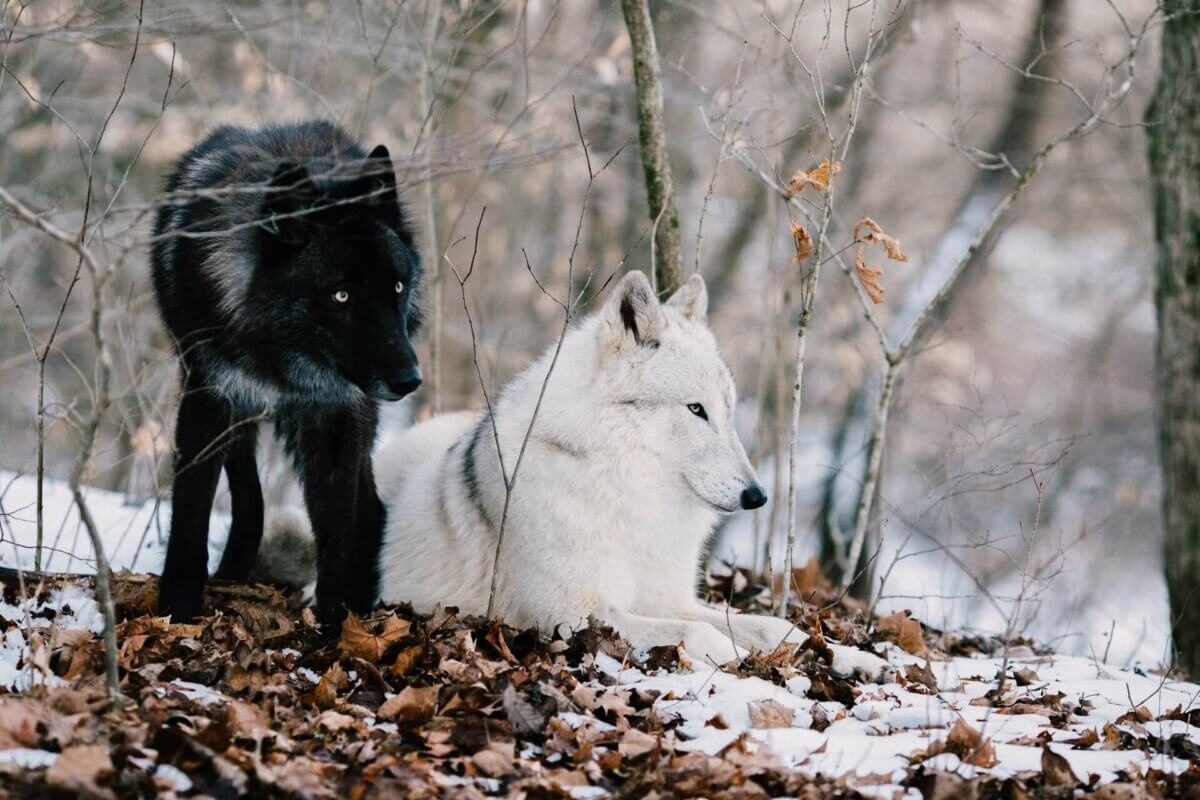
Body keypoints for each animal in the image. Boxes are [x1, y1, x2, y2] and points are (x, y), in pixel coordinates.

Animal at [150, 120, 422, 630]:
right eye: (341, 296)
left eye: (396, 287)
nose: (409, 380)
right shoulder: (209, 398)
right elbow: (193, 514)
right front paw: (177, 609)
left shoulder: (335, 416)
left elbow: (336, 529)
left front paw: (337, 625)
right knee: (250, 497)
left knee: (369, 510)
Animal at [260, 270, 802, 664]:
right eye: (695, 410)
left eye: (727, 410)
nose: (757, 496)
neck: (623, 491)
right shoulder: (574, 614)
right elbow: (697, 633)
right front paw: (737, 658)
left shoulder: (667, 597)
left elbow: (762, 624)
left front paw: (813, 645)